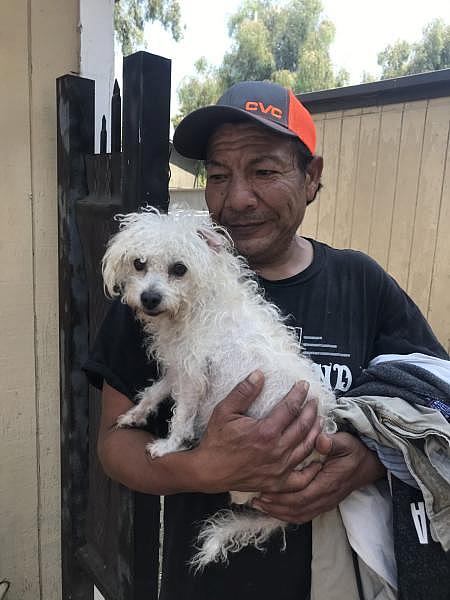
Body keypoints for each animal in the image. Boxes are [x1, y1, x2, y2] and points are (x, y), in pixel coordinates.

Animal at [101, 209, 334, 568]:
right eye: (140, 264)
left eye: (179, 269)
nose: (149, 298)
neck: (196, 306)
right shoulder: (179, 366)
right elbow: (155, 392)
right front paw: (134, 415)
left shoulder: (194, 375)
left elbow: (181, 417)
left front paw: (168, 446)